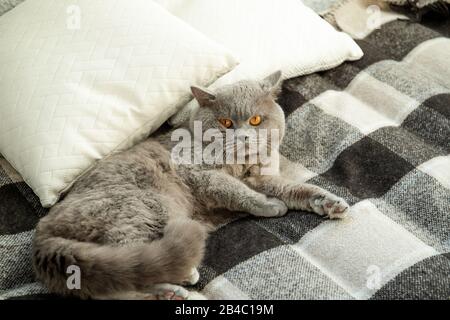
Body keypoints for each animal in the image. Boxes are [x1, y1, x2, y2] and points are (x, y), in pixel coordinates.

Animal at [33, 70, 348, 300]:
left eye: (256, 120)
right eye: (226, 122)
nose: (244, 137)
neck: (239, 164)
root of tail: (43, 233)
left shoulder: (261, 178)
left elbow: (294, 189)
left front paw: (329, 202)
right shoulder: (202, 174)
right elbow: (236, 191)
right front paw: (271, 206)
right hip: (144, 208)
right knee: (129, 265)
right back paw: (179, 283)